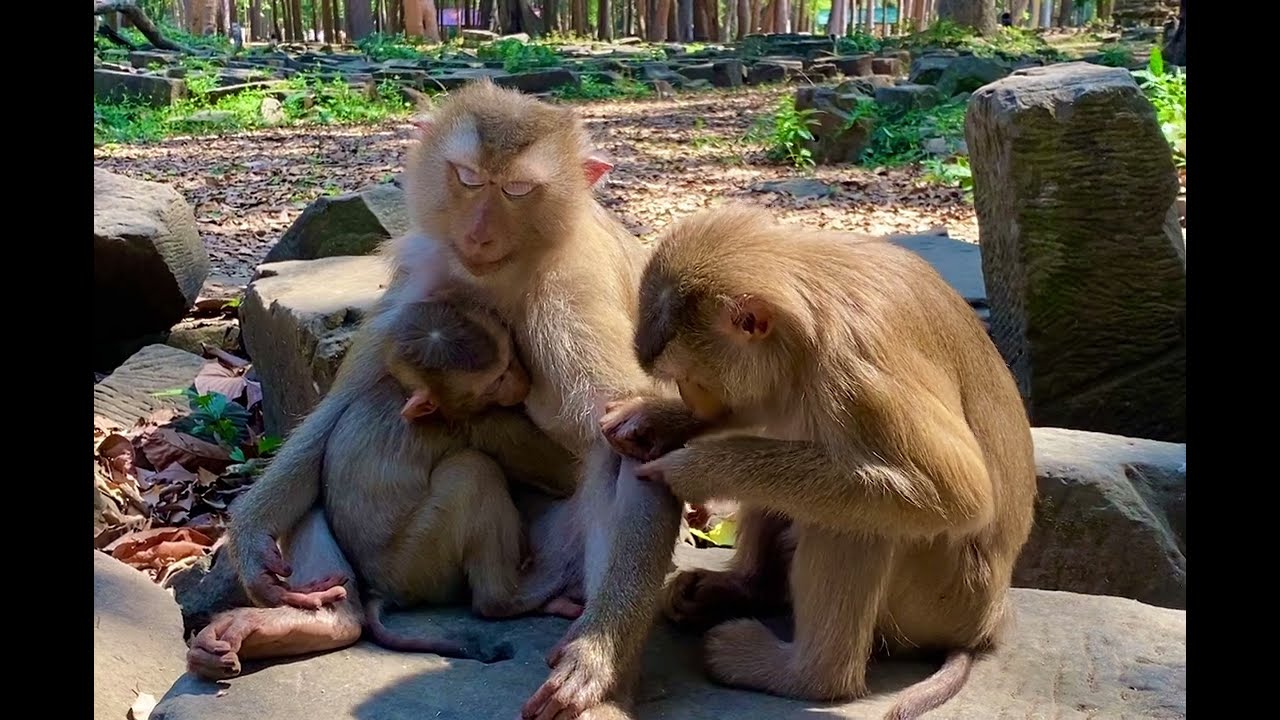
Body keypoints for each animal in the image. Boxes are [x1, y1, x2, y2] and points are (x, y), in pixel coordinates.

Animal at [189, 283, 583, 680]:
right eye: (497, 380)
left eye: (511, 355)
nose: (523, 381)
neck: (400, 389)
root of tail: (385, 589)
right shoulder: (484, 423)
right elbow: (568, 474)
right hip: (419, 560)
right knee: (471, 472)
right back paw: (506, 599)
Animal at [395, 79, 691, 719]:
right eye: (468, 178)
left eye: (518, 190)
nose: (479, 234)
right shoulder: (428, 270)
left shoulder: (570, 296)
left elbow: (625, 439)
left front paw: (597, 660)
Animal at [598, 204, 1037, 720]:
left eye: (690, 376)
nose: (690, 398)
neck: (811, 311)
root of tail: (989, 623)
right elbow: (761, 408)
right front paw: (653, 419)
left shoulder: (856, 371)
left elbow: (955, 494)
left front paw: (693, 470)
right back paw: (745, 589)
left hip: (943, 597)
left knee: (860, 520)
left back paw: (807, 676)